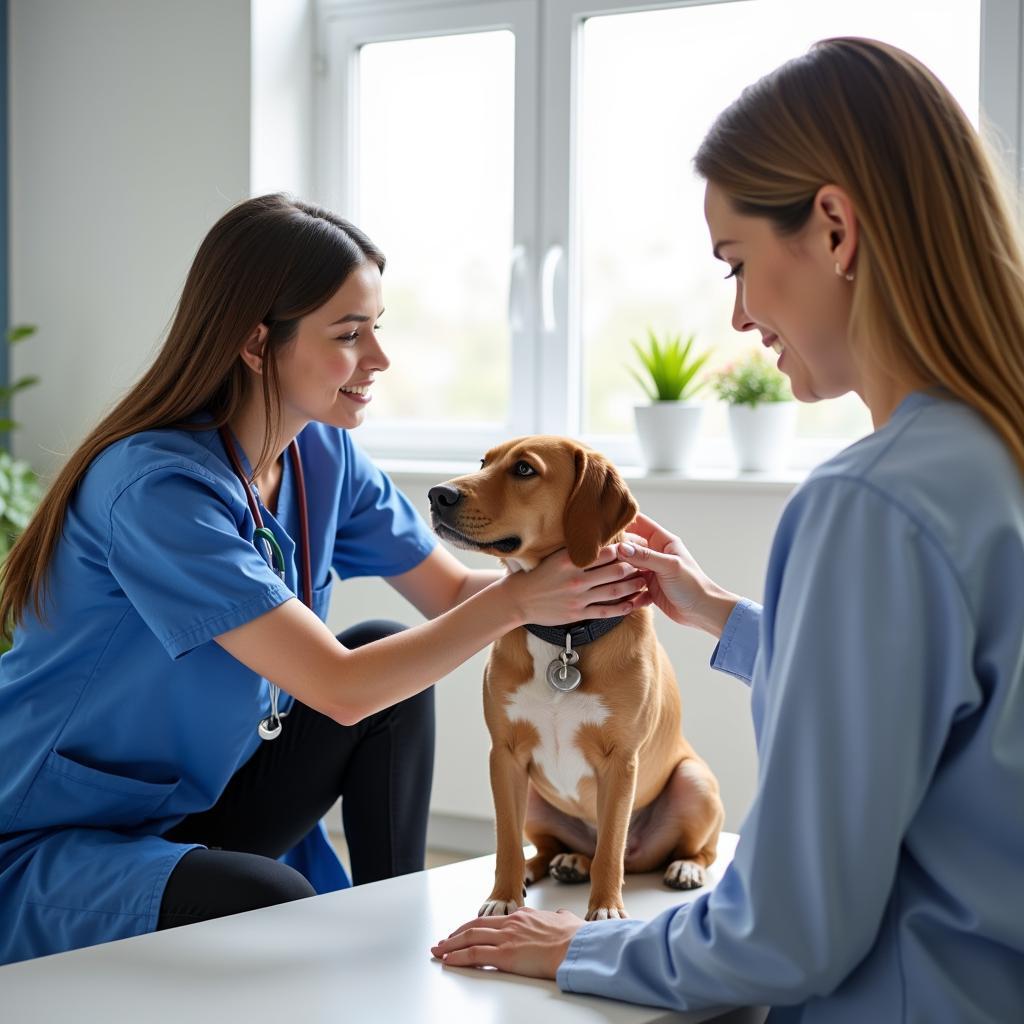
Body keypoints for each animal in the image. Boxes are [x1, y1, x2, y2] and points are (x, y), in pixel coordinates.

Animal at [428, 434, 724, 921]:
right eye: (483, 462)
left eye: (524, 469)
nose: (437, 495)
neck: (564, 634)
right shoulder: (504, 755)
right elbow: (505, 841)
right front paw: (503, 895)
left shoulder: (621, 762)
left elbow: (611, 847)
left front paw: (605, 908)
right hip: (535, 798)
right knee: (549, 847)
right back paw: (555, 864)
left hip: (694, 782)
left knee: (685, 849)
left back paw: (683, 867)